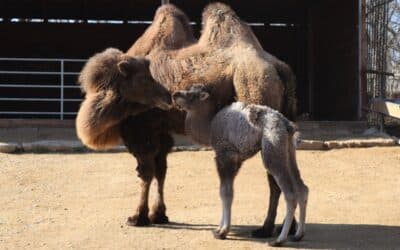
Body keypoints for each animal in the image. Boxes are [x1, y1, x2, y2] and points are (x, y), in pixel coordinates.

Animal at [76, 2, 296, 238]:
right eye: (145, 79)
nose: (168, 97)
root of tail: (280, 69)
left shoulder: (140, 129)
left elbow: (145, 173)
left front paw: (137, 217)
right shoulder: (160, 130)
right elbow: (161, 170)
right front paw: (158, 215)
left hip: (256, 97)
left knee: (274, 176)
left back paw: (266, 228)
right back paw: (286, 227)